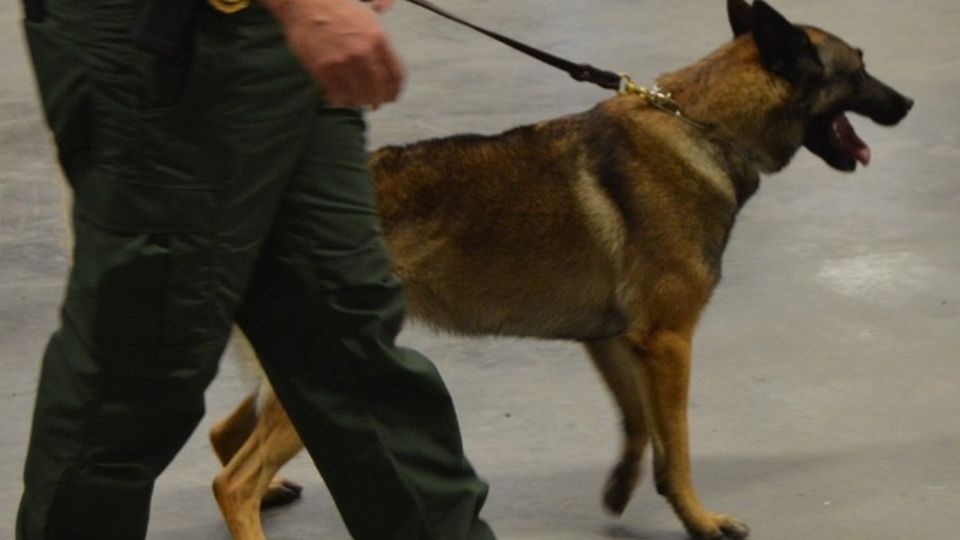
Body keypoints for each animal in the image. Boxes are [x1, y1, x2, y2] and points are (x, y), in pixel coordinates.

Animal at [206, 2, 912, 536]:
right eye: (860, 68)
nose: (906, 104)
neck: (703, 127)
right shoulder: (669, 344)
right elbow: (679, 448)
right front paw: (701, 520)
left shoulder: (615, 341)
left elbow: (641, 427)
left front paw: (625, 488)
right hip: (325, 371)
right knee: (231, 480)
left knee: (224, 433)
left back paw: (273, 491)